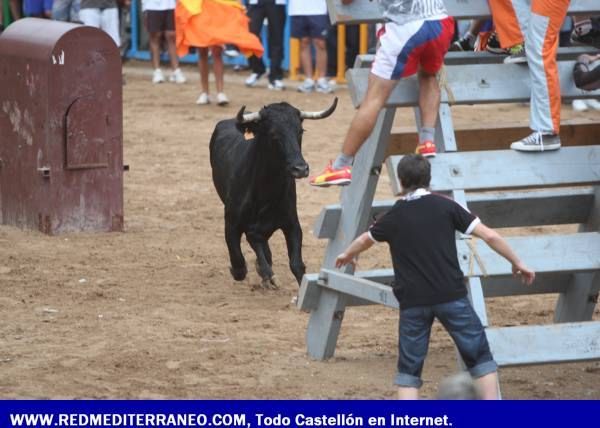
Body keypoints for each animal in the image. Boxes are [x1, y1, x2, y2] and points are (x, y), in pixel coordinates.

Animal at [210, 98, 338, 290]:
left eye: (300, 131)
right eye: (273, 134)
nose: (300, 168)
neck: (266, 189)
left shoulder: (292, 224)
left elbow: (296, 264)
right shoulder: (231, 223)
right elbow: (239, 261)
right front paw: (252, 271)